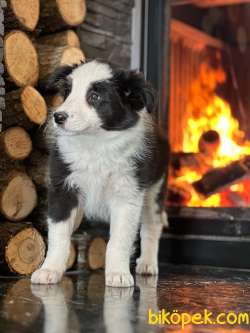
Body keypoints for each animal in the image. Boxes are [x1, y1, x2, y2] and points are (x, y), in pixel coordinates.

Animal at [30, 59, 168, 286]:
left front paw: (118, 274)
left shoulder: (127, 194)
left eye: (94, 97)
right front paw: (49, 269)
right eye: (67, 92)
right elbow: (59, 235)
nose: (58, 117)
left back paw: (147, 263)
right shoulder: (63, 187)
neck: (95, 143)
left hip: (155, 189)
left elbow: (119, 239)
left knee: (152, 225)